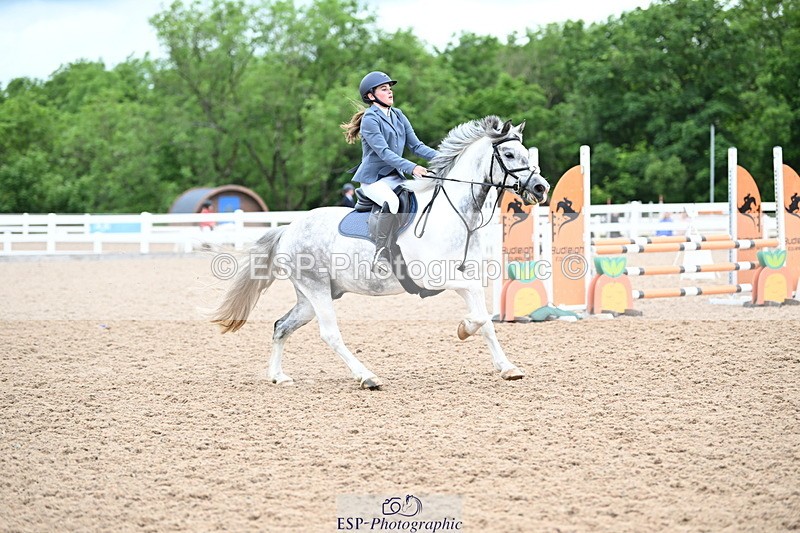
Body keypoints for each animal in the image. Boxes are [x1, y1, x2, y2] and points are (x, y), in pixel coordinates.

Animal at [210, 115, 550, 389]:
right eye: (509, 154)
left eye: (525, 153)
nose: (540, 188)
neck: (454, 215)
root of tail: (288, 229)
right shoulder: (435, 279)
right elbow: (479, 315)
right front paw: (464, 329)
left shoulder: (464, 277)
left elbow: (486, 320)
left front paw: (507, 367)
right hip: (316, 288)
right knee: (329, 333)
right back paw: (367, 376)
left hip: (313, 295)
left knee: (281, 327)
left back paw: (278, 377)